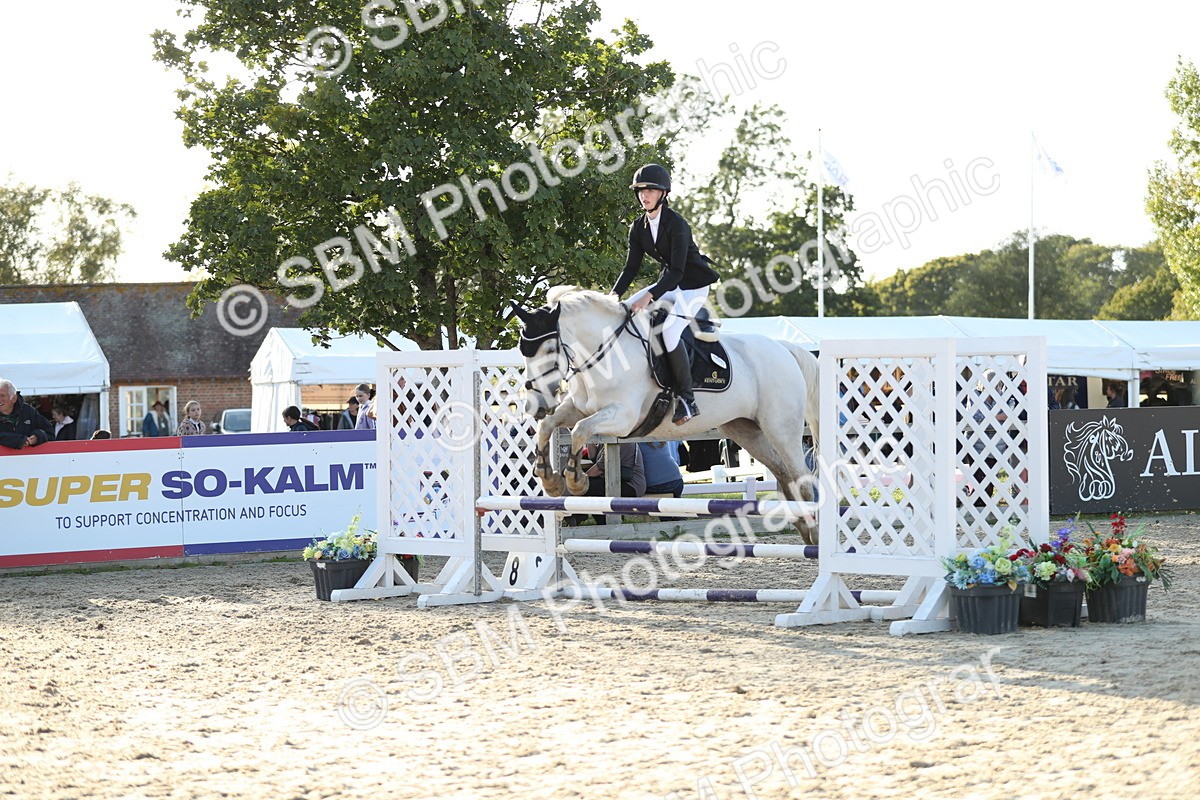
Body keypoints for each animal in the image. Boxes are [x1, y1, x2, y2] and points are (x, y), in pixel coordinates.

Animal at [512, 286, 822, 543]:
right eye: (522, 350)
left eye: (550, 349)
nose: (535, 405)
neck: (604, 354)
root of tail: (783, 348)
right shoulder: (578, 408)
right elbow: (548, 426)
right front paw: (550, 480)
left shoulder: (623, 417)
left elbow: (580, 431)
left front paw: (576, 481)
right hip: (746, 430)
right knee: (784, 475)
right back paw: (803, 527)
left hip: (781, 429)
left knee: (802, 478)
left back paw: (815, 534)